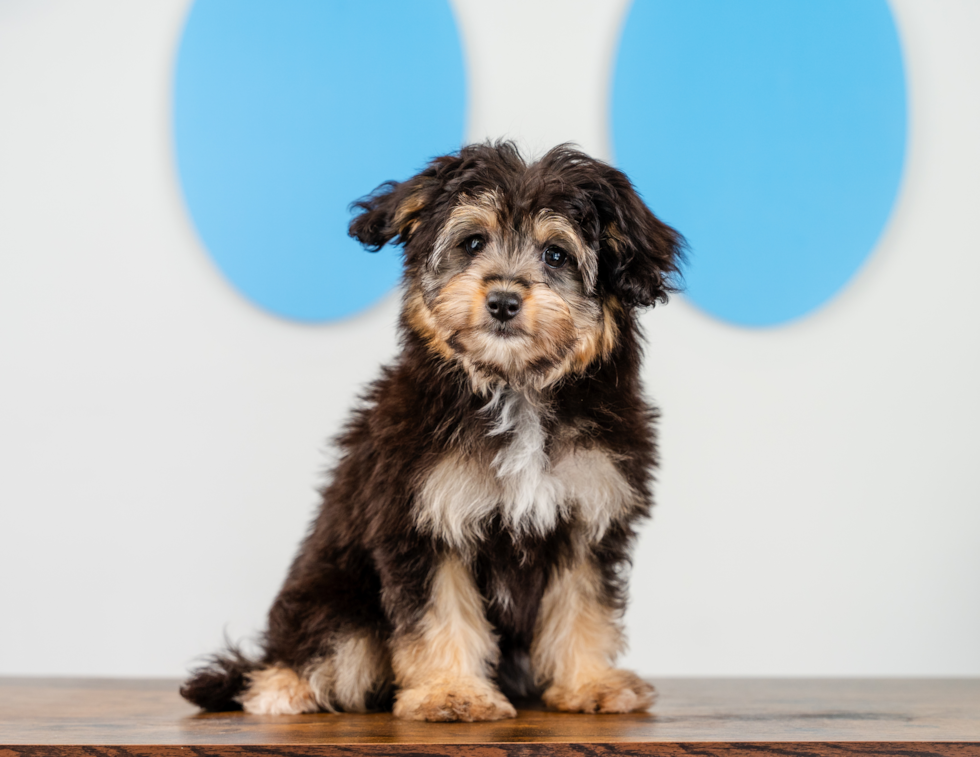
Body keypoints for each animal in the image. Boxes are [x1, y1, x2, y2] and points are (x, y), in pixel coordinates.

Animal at [180, 140, 680, 720]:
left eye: (556, 255)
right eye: (473, 242)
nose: (503, 301)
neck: (515, 389)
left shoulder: (589, 514)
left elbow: (583, 604)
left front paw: (589, 682)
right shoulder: (421, 516)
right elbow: (439, 611)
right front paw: (452, 693)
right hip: (337, 600)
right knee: (327, 651)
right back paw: (280, 687)